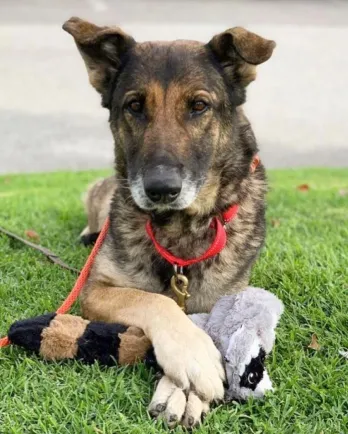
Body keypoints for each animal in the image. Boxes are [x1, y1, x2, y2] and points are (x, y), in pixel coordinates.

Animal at [61, 17, 274, 428]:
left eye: (199, 106)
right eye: (134, 106)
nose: (160, 189)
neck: (180, 227)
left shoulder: (223, 300)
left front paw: (183, 392)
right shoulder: (96, 289)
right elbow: (155, 301)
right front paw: (193, 356)